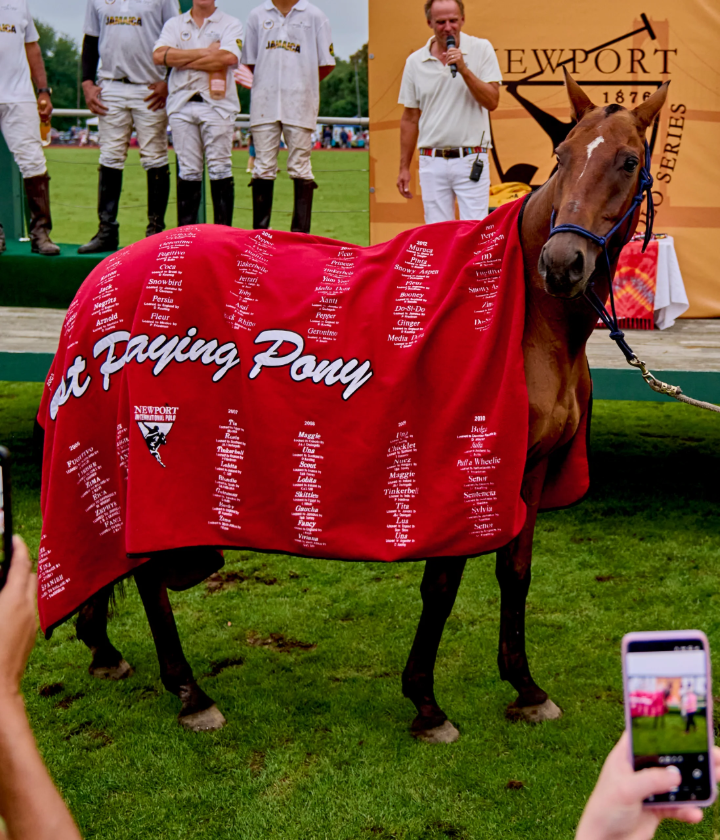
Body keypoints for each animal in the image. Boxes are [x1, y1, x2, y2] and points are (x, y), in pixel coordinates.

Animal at [55, 71, 668, 739]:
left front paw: (526, 688)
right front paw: (426, 703)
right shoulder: (456, 471)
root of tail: (106, 274)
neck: (530, 317)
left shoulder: (527, 471)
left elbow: (515, 573)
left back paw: (105, 647)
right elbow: (442, 583)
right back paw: (190, 692)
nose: (561, 264)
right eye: (563, 156)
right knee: (146, 566)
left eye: (627, 160)